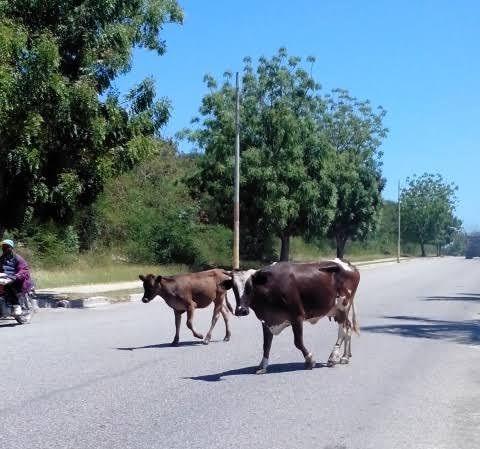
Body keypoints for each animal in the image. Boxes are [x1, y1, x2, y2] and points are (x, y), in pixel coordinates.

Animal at [232, 258, 360, 372]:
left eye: (249, 287)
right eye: (233, 288)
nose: (241, 310)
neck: (269, 287)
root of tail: (349, 265)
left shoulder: (297, 316)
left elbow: (298, 342)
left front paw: (310, 360)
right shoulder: (267, 320)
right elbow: (266, 344)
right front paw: (262, 366)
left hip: (342, 307)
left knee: (343, 330)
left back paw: (333, 357)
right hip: (338, 310)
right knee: (348, 328)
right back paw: (345, 356)